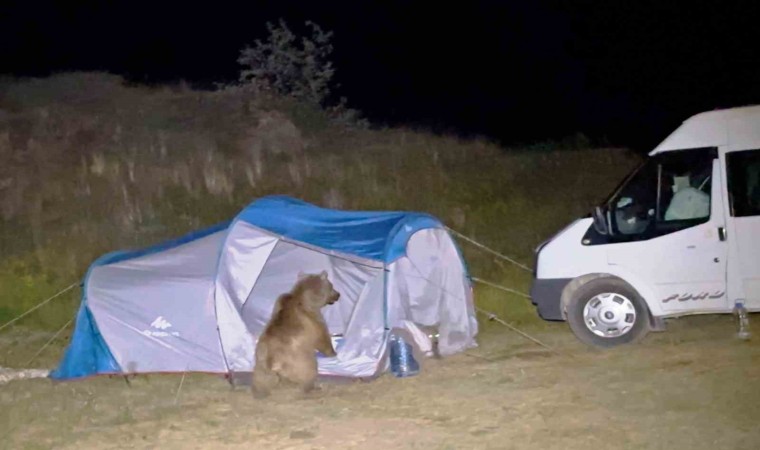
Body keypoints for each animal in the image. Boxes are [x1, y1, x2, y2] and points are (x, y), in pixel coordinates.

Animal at [251, 270, 340, 398]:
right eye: (331, 286)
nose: (338, 294)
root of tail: (272, 362)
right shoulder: (313, 317)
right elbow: (322, 337)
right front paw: (333, 353)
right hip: (299, 360)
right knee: (309, 370)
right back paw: (312, 387)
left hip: (260, 366)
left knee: (261, 381)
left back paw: (260, 392)